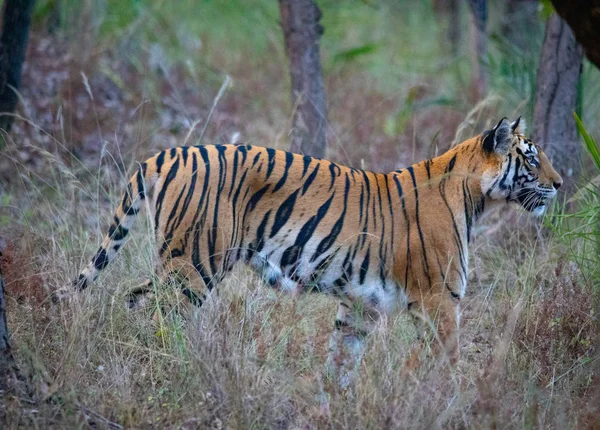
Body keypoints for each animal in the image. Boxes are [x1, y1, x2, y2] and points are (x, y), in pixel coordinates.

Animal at [67, 116, 564, 382]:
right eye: (532, 156)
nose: (561, 184)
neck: (476, 197)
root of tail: (166, 153)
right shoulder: (440, 301)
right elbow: (448, 366)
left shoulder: (360, 305)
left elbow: (340, 364)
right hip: (194, 265)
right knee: (158, 317)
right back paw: (175, 369)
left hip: (180, 262)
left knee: (131, 297)